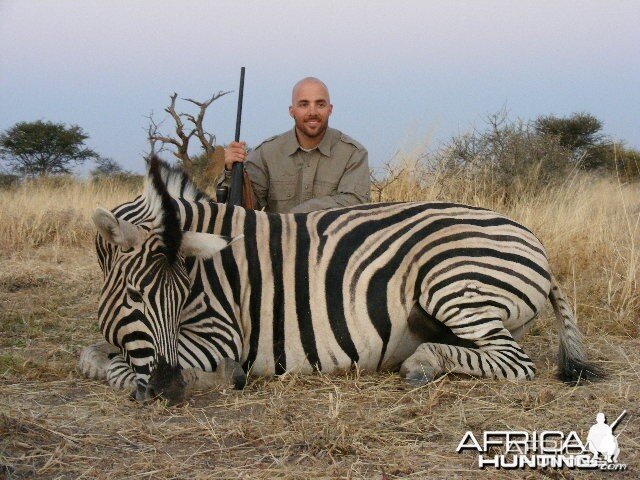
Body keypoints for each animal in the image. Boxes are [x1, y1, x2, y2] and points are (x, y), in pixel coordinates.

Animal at [77, 156, 604, 404]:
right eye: (133, 296)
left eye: (185, 293)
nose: (168, 388)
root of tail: (533, 240)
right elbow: (95, 352)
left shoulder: (220, 335)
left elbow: (113, 364)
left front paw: (218, 377)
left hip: (451, 282)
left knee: (516, 362)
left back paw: (420, 364)